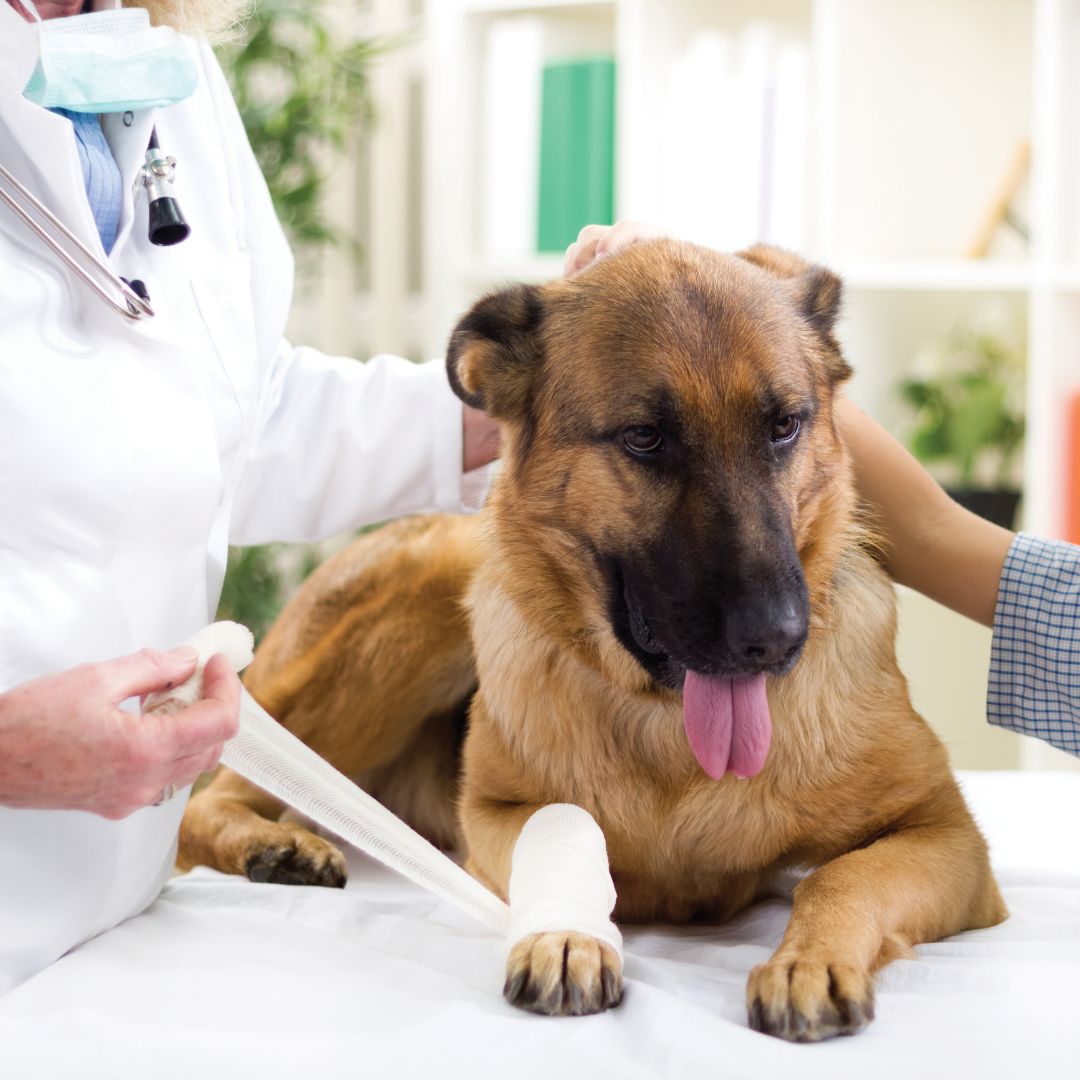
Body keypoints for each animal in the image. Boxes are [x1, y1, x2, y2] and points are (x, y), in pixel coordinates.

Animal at [181, 240, 1006, 1041]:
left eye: (784, 426)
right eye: (645, 438)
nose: (776, 639)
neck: (669, 731)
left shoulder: (947, 835)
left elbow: (842, 875)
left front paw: (810, 961)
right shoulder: (495, 816)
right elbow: (570, 832)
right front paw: (566, 933)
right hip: (415, 610)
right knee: (212, 794)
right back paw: (272, 844)